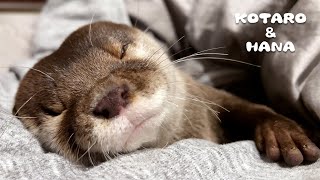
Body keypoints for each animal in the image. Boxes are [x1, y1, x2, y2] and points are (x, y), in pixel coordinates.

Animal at [13, 21, 320, 167]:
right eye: (55, 110)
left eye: (122, 51)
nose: (109, 97)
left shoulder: (212, 96)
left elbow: (249, 107)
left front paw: (282, 133)